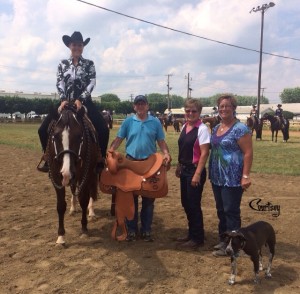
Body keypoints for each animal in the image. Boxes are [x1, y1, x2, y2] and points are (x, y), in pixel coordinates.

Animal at [46, 104, 99, 245]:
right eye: (55, 137)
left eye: (80, 137)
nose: (66, 173)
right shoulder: (57, 177)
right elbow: (60, 206)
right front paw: (60, 237)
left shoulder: (85, 175)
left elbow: (84, 199)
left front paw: (84, 229)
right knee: (74, 188)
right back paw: (73, 208)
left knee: (90, 193)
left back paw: (91, 212)